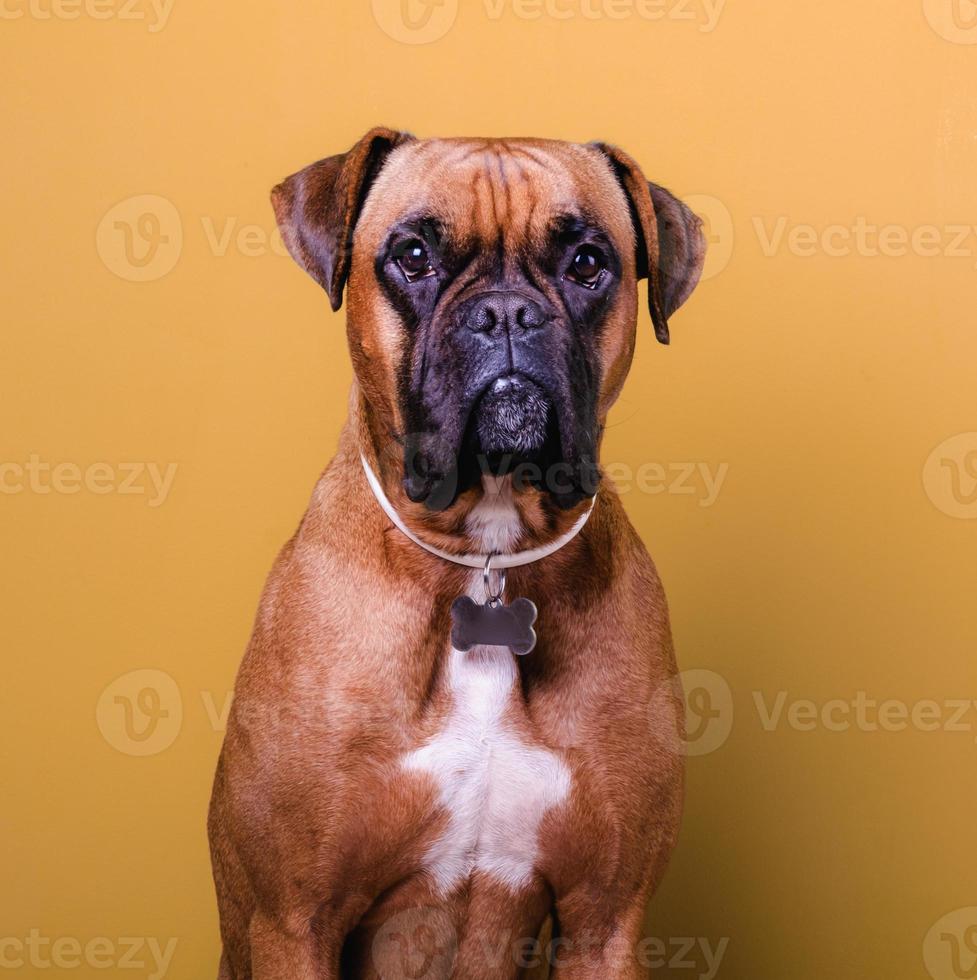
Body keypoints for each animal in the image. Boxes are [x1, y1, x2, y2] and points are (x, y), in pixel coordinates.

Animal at [210, 130, 704, 980]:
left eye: (586, 262)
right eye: (413, 254)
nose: (505, 312)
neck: (486, 558)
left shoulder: (605, 921)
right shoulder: (293, 923)